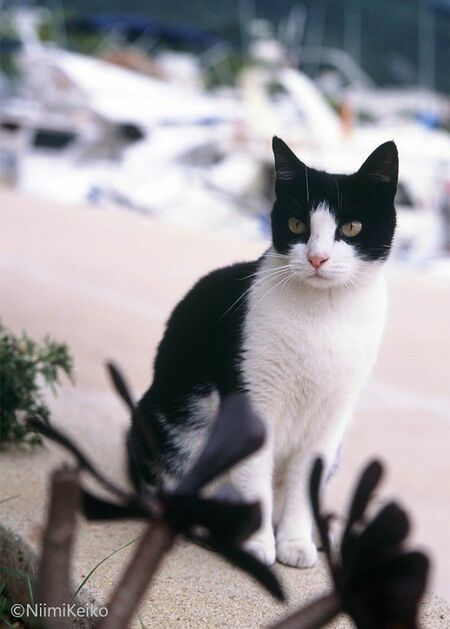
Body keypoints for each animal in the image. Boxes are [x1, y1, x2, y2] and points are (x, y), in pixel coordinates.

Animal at [128, 137, 398, 568]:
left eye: (351, 227)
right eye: (297, 224)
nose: (317, 257)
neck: (323, 315)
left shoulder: (332, 416)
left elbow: (306, 485)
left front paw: (296, 542)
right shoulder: (252, 399)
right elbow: (254, 475)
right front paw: (258, 545)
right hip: (164, 428)